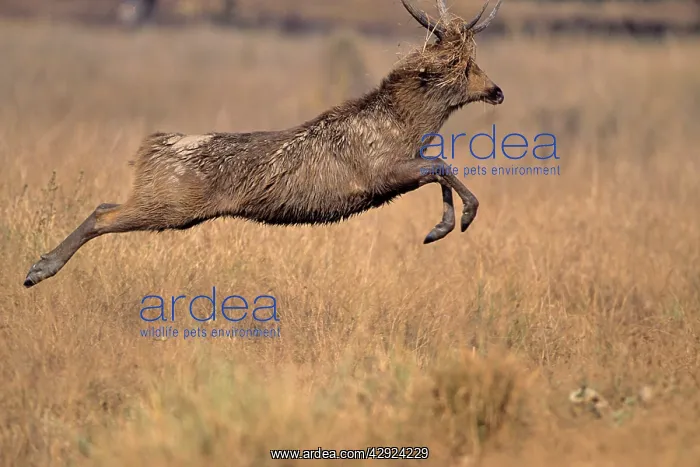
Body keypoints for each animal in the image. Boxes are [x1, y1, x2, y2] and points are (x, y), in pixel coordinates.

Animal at [23, 0, 505, 288]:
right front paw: (457, 221)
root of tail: (150, 149)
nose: (497, 90)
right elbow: (442, 165)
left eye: (474, 62)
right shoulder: (381, 173)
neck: (407, 126)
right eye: (462, 66)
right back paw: (37, 269)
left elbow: (439, 169)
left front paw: (441, 227)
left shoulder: (400, 172)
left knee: (106, 203)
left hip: (166, 203)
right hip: (170, 204)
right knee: (103, 214)